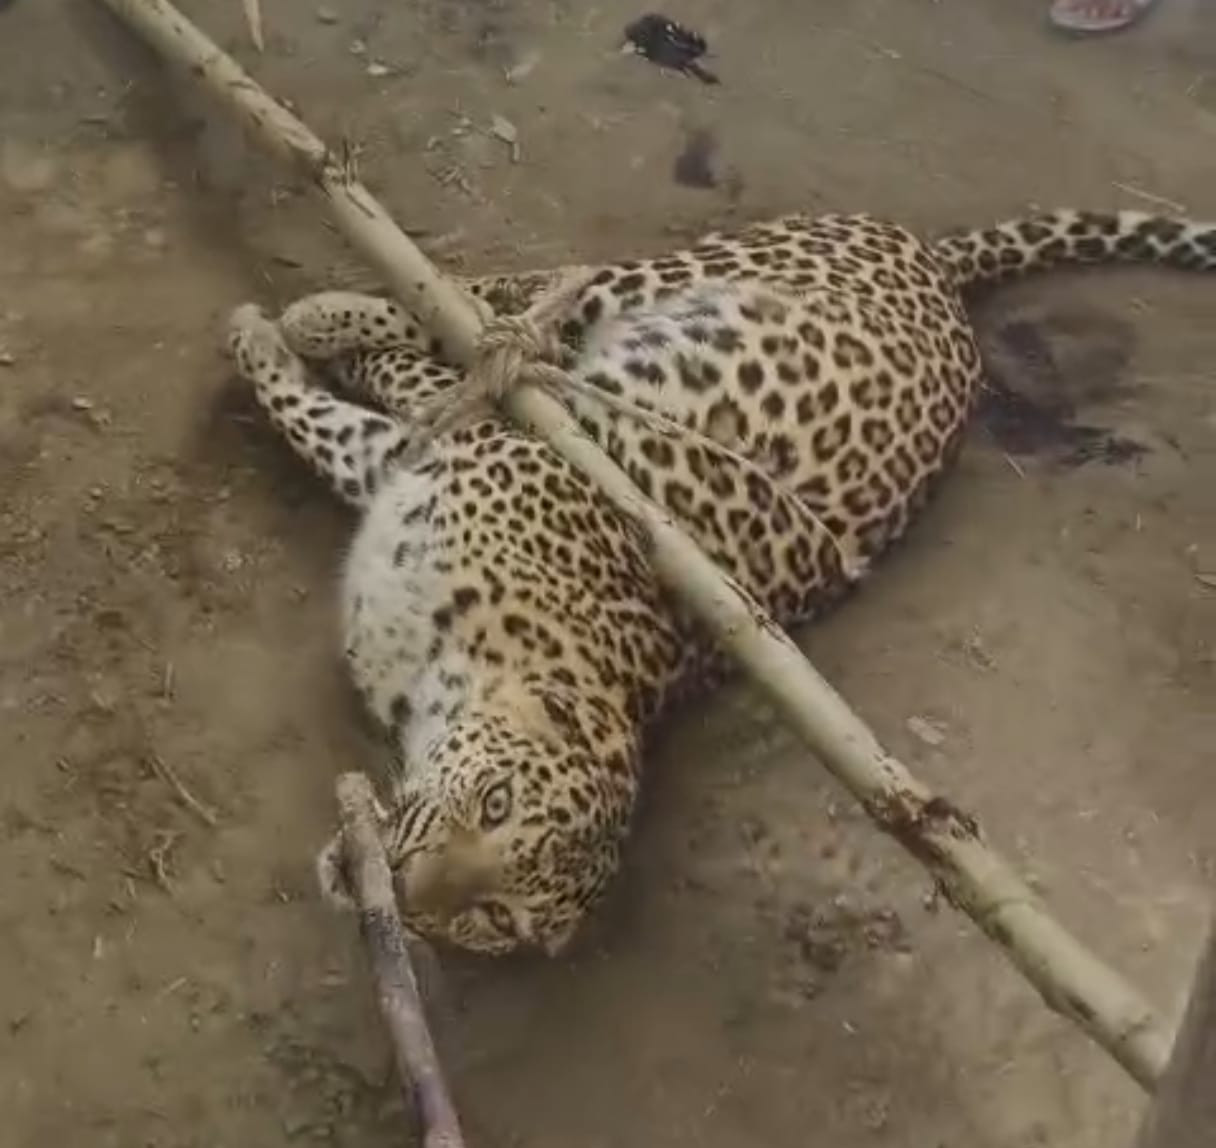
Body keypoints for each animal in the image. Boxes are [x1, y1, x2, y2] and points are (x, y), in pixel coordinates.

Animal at [227, 208, 1216, 956]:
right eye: (494, 799)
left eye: (495, 918)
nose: (400, 886)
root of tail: (939, 267)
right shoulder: (464, 450)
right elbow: (379, 388)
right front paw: (272, 335)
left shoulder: (412, 457)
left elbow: (334, 411)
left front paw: (287, 349)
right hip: (695, 270)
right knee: (522, 287)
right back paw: (331, 311)